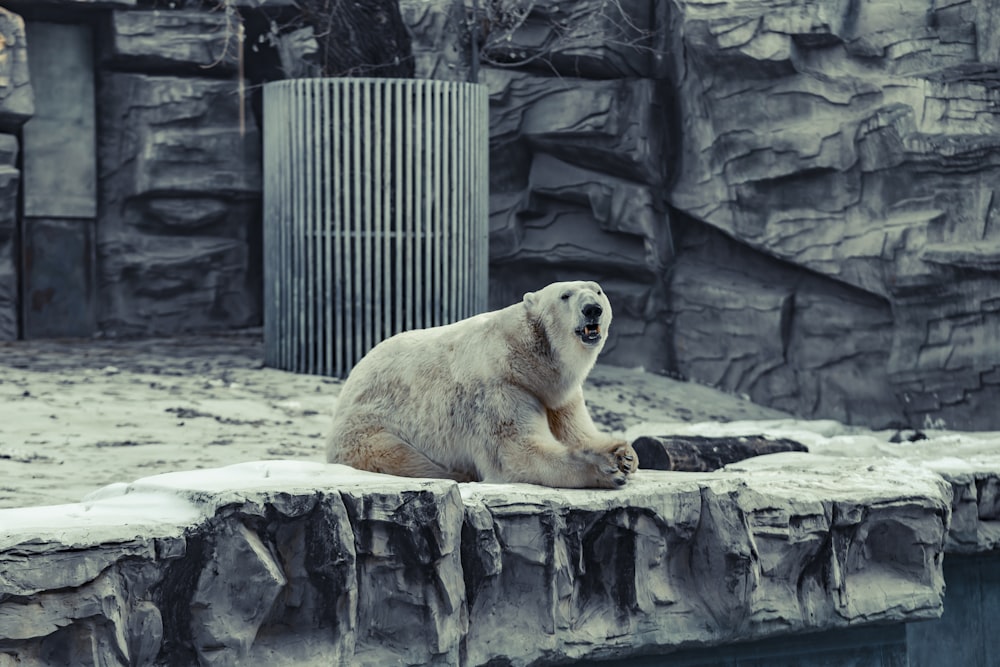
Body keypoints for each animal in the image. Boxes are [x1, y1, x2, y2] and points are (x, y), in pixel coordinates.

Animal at [328, 280, 640, 488]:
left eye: (598, 291)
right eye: (565, 295)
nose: (592, 309)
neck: (530, 361)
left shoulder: (559, 396)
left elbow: (577, 432)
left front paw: (625, 455)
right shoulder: (500, 389)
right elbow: (518, 454)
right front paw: (607, 467)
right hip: (369, 428)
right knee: (401, 456)